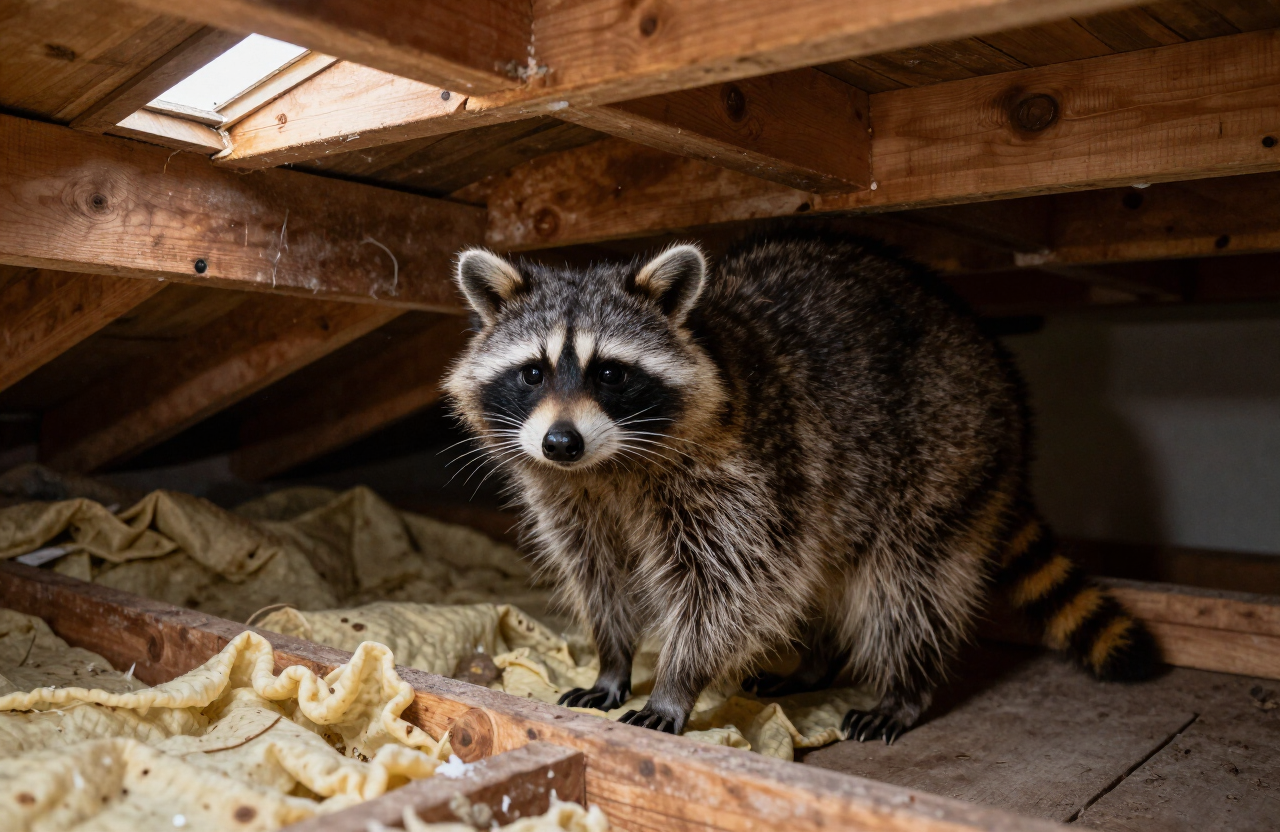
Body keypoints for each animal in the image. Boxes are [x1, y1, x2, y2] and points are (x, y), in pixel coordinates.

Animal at [443, 234, 1159, 741]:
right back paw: (817, 663)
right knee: (820, 569)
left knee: (906, 583)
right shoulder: (570, 496)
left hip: (944, 450)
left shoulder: (744, 466)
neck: (609, 465)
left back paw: (904, 685)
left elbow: (729, 585)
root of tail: (993, 357)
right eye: (533, 373)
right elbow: (600, 573)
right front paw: (613, 659)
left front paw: (676, 680)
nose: (561, 443)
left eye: (611, 374)